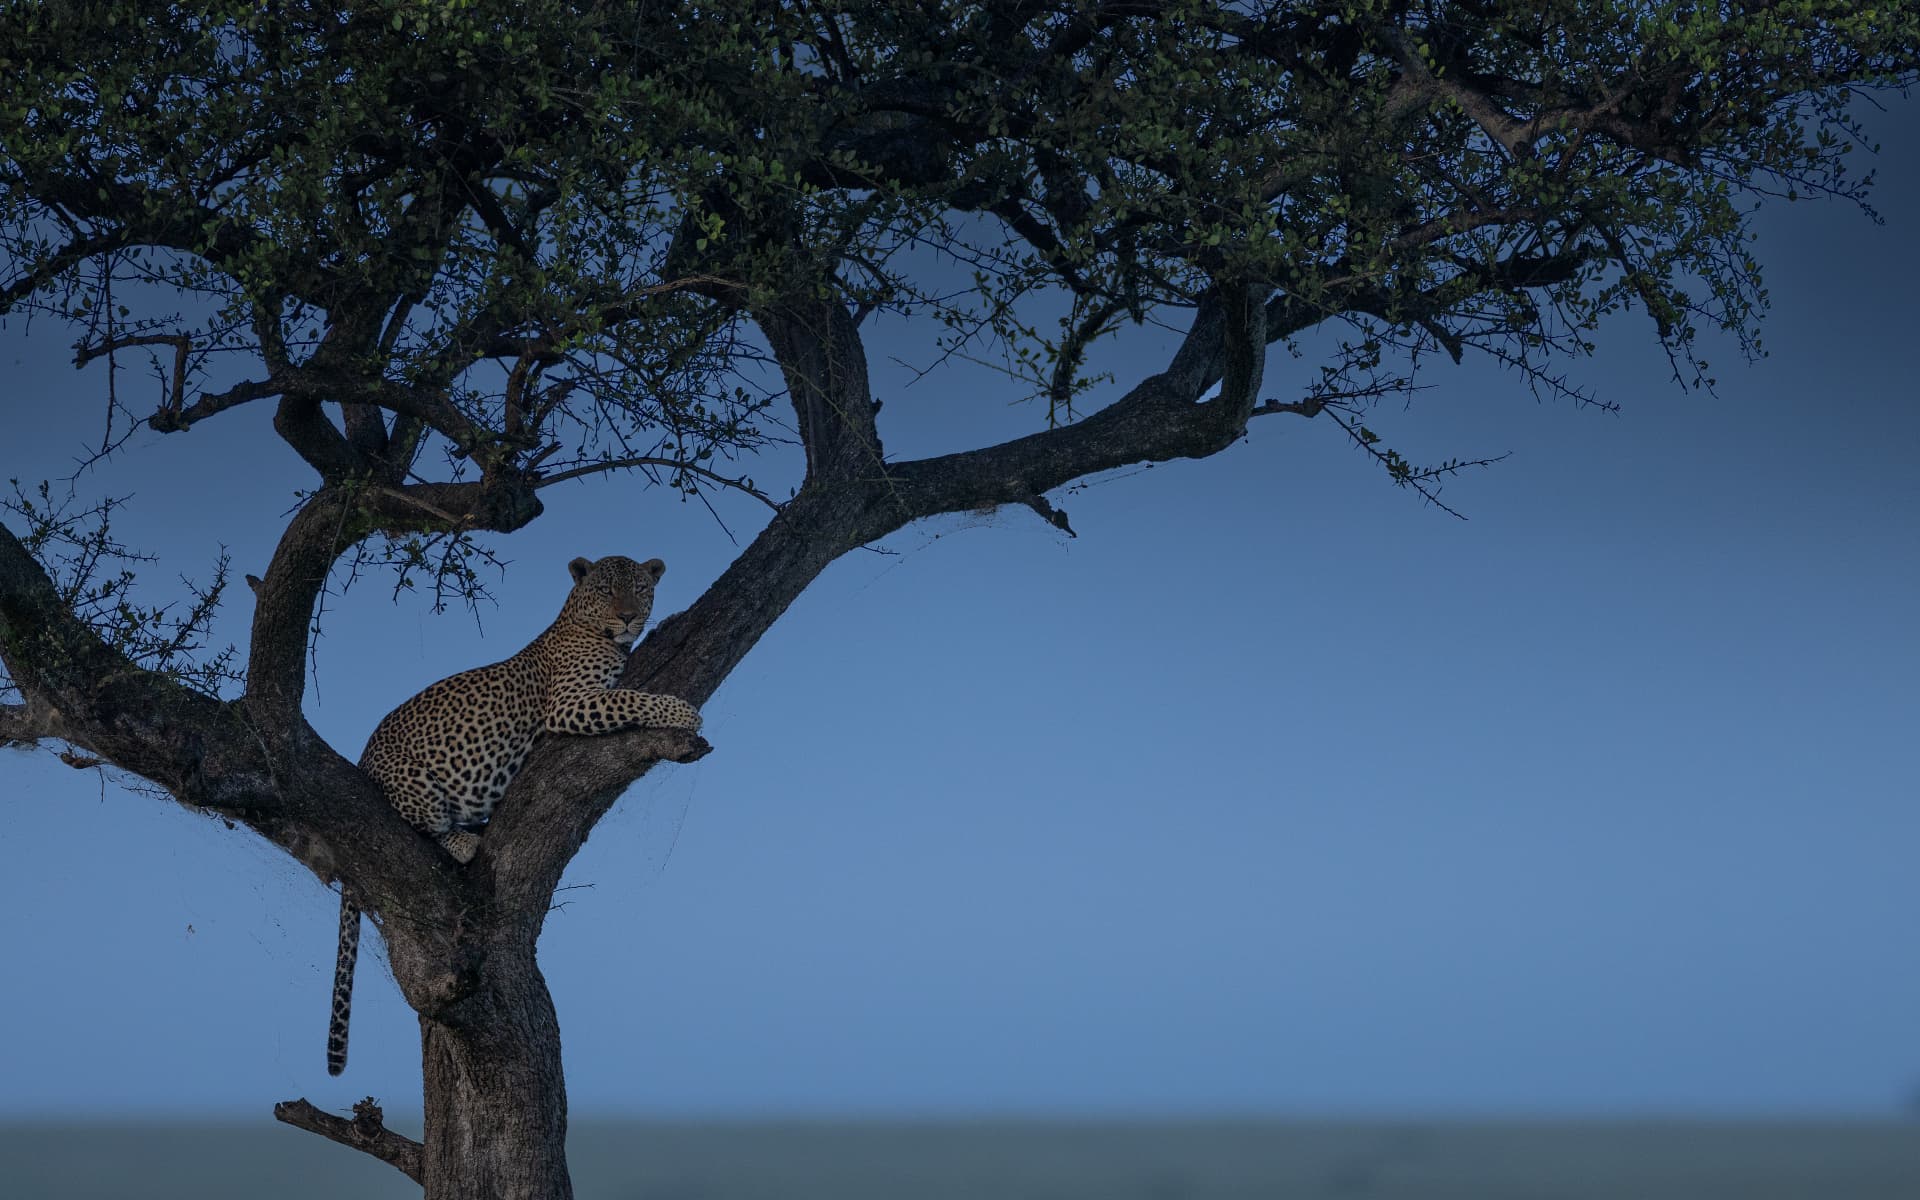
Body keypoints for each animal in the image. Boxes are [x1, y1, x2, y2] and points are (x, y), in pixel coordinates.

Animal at [325, 553, 702, 1076]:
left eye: (641, 589)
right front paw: (682, 711)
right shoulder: (571, 702)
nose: (628, 617)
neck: (583, 626)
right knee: (420, 825)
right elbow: (632, 698)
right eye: (606, 590)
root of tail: (361, 762)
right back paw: (464, 840)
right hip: (414, 782)